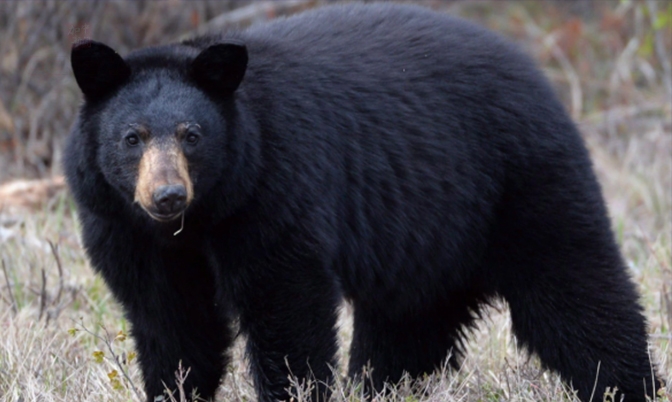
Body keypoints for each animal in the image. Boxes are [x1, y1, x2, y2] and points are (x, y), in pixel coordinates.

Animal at [65, 3, 660, 402]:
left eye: (192, 136)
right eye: (132, 138)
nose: (167, 195)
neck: (199, 220)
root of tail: (536, 74)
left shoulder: (273, 192)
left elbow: (286, 306)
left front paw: (292, 389)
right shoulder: (125, 230)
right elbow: (172, 323)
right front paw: (174, 387)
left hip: (522, 184)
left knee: (577, 293)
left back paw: (629, 385)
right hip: (428, 239)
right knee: (407, 330)